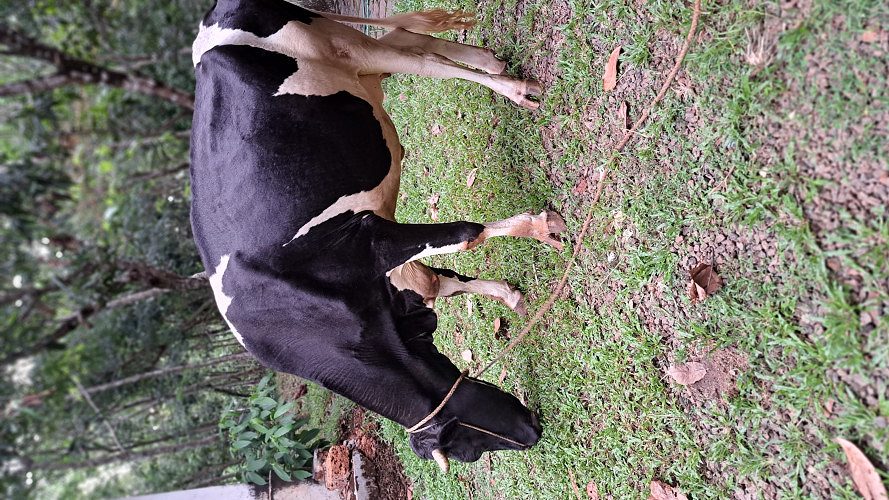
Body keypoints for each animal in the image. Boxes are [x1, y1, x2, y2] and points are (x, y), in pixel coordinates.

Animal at [190, 0, 567, 471]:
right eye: (469, 447)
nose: (532, 433)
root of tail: (212, 18)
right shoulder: (386, 283)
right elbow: (437, 284)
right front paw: (507, 294)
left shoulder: (366, 238)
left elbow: (467, 235)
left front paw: (542, 226)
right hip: (351, 61)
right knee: (411, 42)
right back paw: (490, 63)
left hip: (340, 49)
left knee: (424, 61)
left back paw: (515, 88)